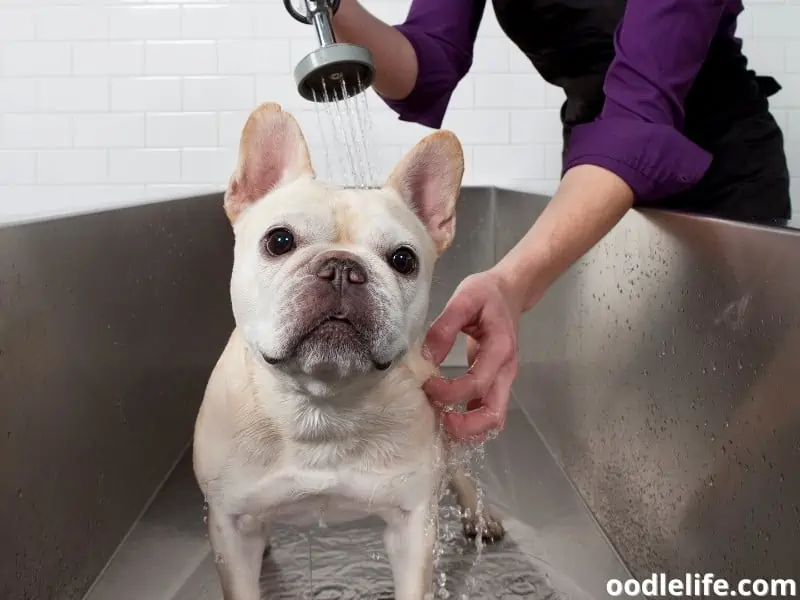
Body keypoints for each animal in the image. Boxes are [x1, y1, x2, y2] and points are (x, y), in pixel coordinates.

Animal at [193, 104, 504, 600]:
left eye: (403, 260)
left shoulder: (412, 524)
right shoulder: (232, 524)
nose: (342, 266)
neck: (321, 405)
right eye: (278, 240)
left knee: (461, 477)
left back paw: (479, 517)